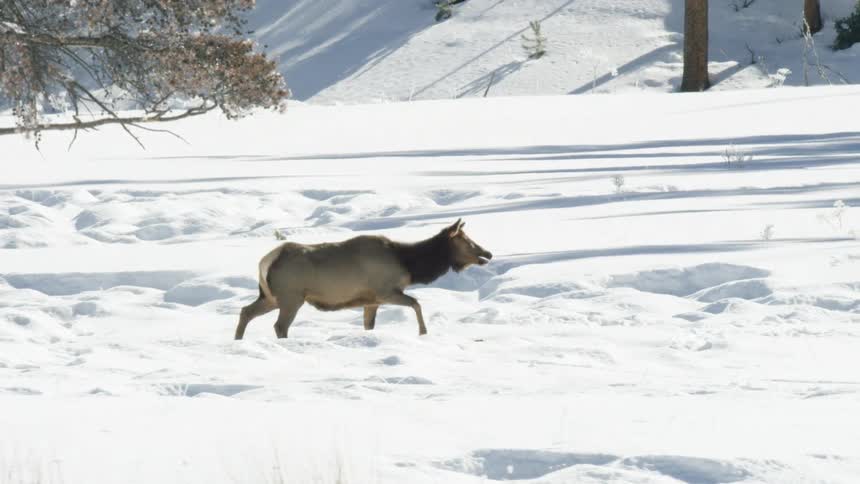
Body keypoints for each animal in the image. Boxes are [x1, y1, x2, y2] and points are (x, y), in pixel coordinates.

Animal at [235, 219, 492, 339]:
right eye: (466, 240)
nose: (487, 253)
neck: (410, 265)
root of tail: (264, 262)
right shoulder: (385, 291)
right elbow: (416, 303)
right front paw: (423, 332)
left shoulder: (371, 300)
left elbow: (369, 325)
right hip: (291, 296)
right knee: (280, 325)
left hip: (271, 297)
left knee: (246, 311)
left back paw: (237, 340)